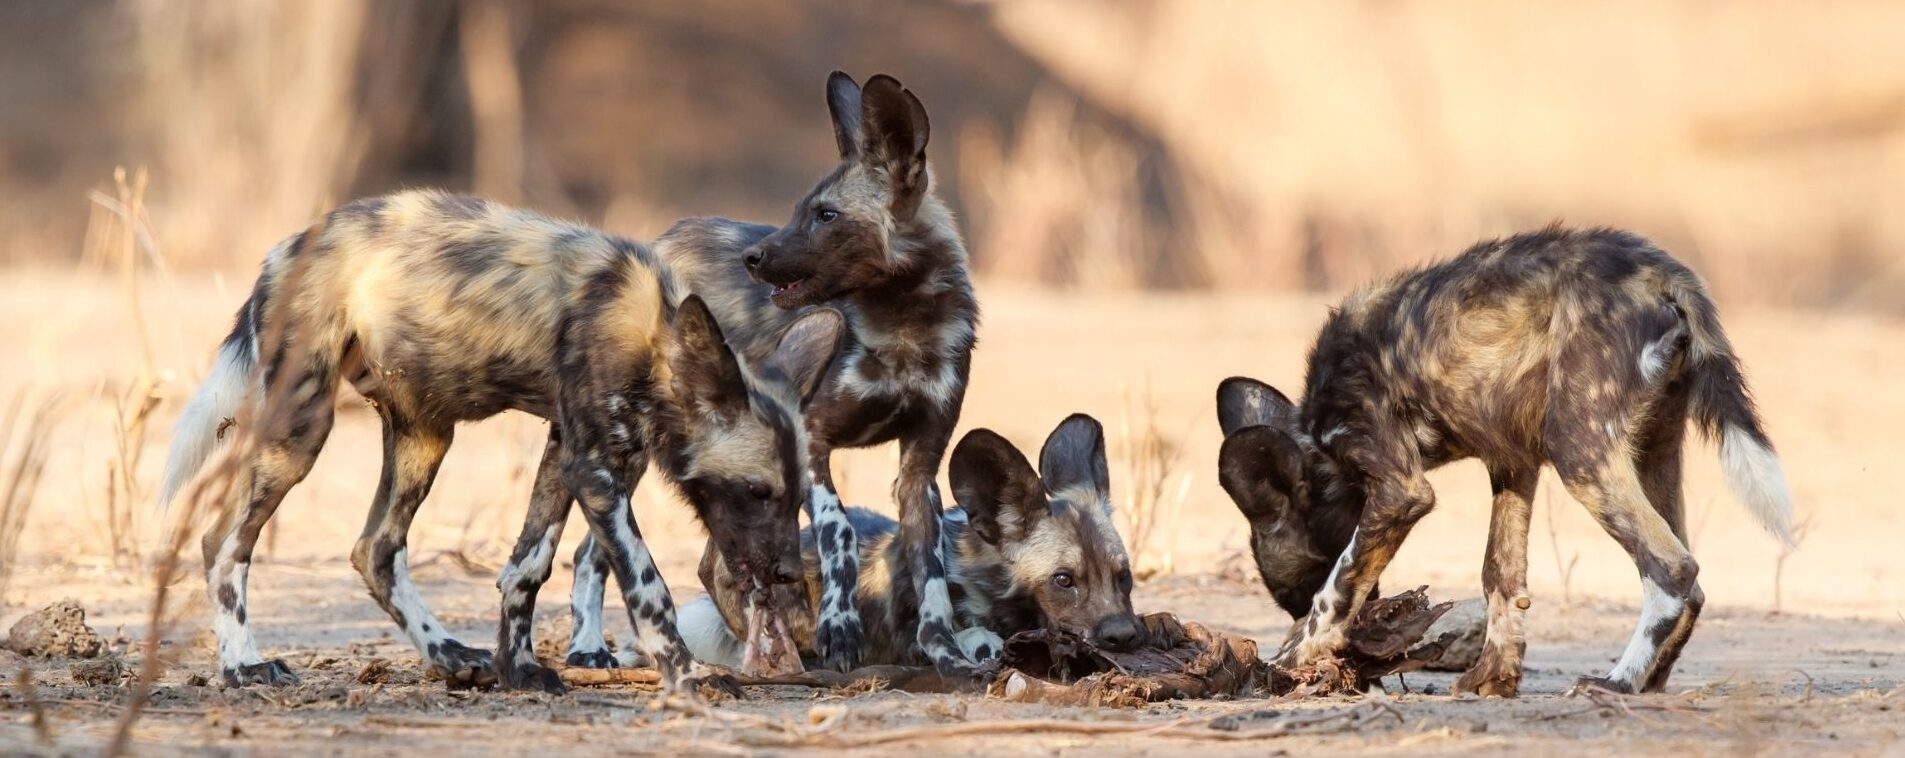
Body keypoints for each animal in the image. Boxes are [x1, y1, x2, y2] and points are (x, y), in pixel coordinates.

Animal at [163, 189, 842, 693]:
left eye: (794, 497)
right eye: (756, 491)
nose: (788, 572)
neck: (653, 337)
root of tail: (287, 246)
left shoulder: (569, 453)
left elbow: (529, 564)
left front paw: (518, 669)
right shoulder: (595, 469)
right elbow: (649, 587)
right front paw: (688, 676)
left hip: (425, 435)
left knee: (375, 548)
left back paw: (448, 655)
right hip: (301, 430)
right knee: (223, 543)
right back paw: (244, 665)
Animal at [537, 69, 982, 674]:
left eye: (826, 215)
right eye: (801, 211)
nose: (753, 257)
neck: (903, 328)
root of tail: (662, 242)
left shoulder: (920, 467)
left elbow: (931, 575)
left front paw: (944, 652)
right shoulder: (813, 441)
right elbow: (839, 532)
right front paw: (839, 631)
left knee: (707, 562)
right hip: (642, 447)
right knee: (594, 551)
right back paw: (590, 647)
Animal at [678, 415, 1135, 670]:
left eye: (1124, 577)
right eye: (1063, 580)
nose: (1123, 635)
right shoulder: (906, 641)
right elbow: (959, 635)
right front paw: (980, 642)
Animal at [1211, 226, 1790, 697]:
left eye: (1297, 591)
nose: (1354, 652)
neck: (1319, 449)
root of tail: (1660, 273)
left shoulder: (1400, 490)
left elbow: (1337, 589)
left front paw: (1294, 656)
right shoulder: (1514, 465)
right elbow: (1501, 576)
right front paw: (1494, 677)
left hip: (1580, 452)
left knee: (1672, 567)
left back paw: (1617, 682)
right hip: (1652, 453)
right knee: (1691, 581)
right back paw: (1651, 682)